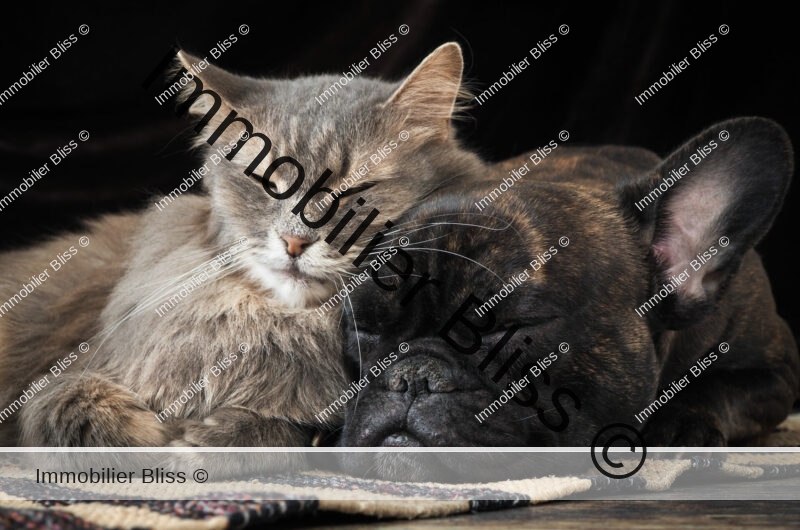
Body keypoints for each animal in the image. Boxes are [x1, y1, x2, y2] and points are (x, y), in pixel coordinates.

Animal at [0, 41, 482, 458]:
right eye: (268, 183)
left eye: (354, 192)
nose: (294, 241)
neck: (286, 326)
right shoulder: (60, 383)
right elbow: (83, 411)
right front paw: (161, 436)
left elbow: (281, 432)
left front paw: (201, 439)